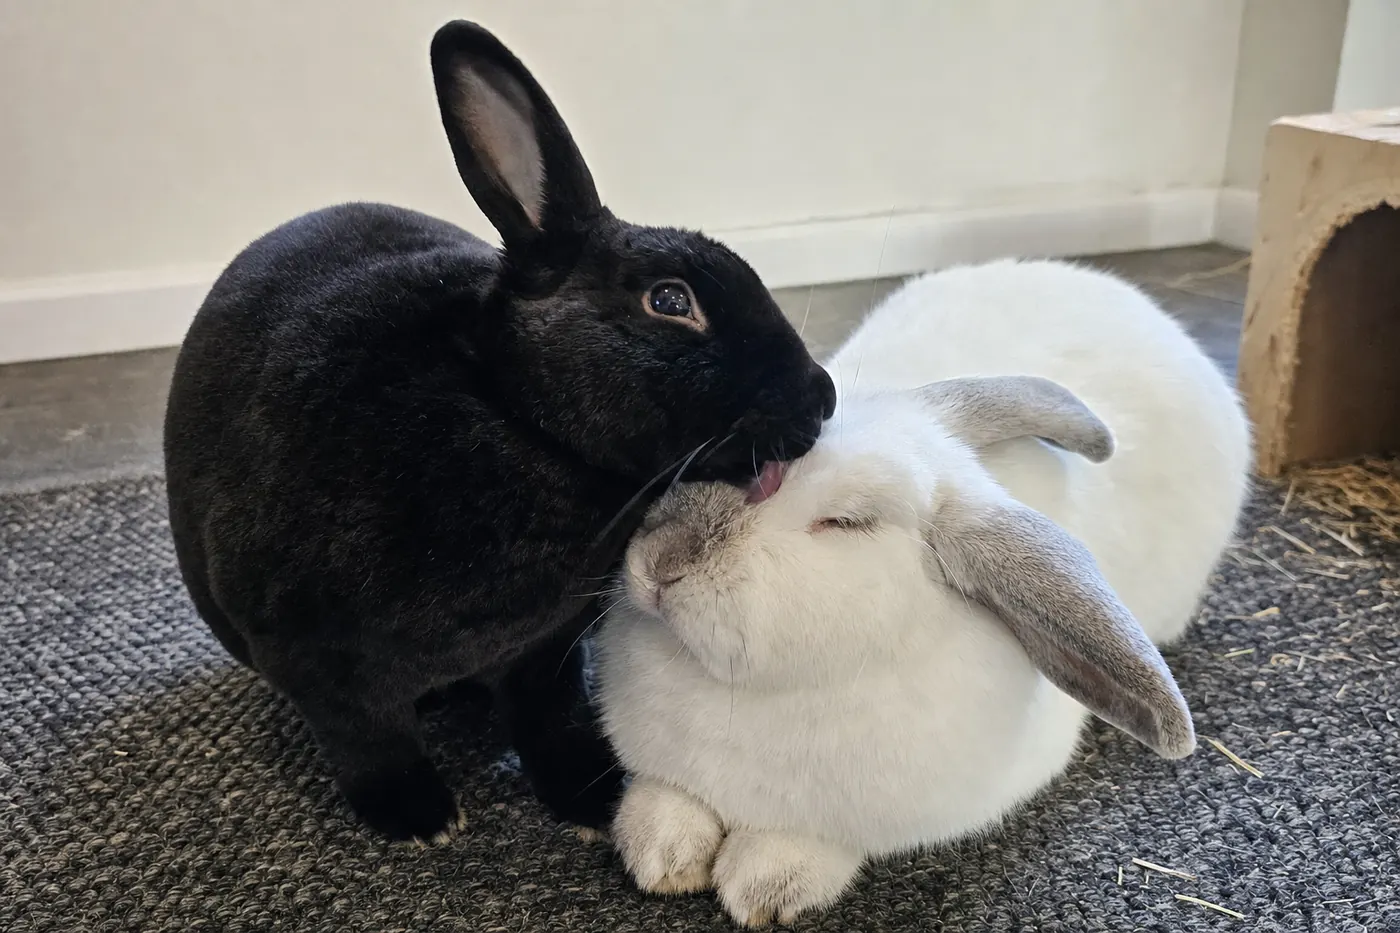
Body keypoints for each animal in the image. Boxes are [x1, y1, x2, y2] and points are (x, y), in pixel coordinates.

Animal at [162, 20, 836, 844]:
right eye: (671, 301)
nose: (822, 396)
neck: (519, 414)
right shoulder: (318, 661)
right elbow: (366, 738)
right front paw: (417, 817)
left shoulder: (545, 651)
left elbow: (550, 719)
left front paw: (591, 798)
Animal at [594, 259, 1251, 925]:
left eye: (847, 522)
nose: (662, 561)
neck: (739, 693)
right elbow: (665, 799)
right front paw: (660, 857)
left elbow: (804, 844)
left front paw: (764, 888)